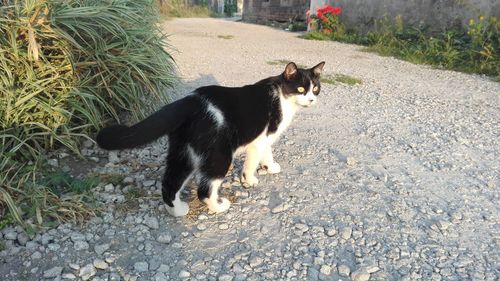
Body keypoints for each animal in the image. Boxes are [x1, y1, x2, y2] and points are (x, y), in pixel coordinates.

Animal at [96, 60, 326, 214]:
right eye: (300, 88)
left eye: (315, 88)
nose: (312, 99)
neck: (283, 97)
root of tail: (190, 101)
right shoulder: (260, 138)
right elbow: (252, 162)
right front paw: (250, 180)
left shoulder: (265, 137)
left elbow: (267, 152)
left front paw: (270, 167)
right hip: (219, 154)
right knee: (205, 190)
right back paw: (219, 207)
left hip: (184, 151)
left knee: (170, 183)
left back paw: (177, 211)